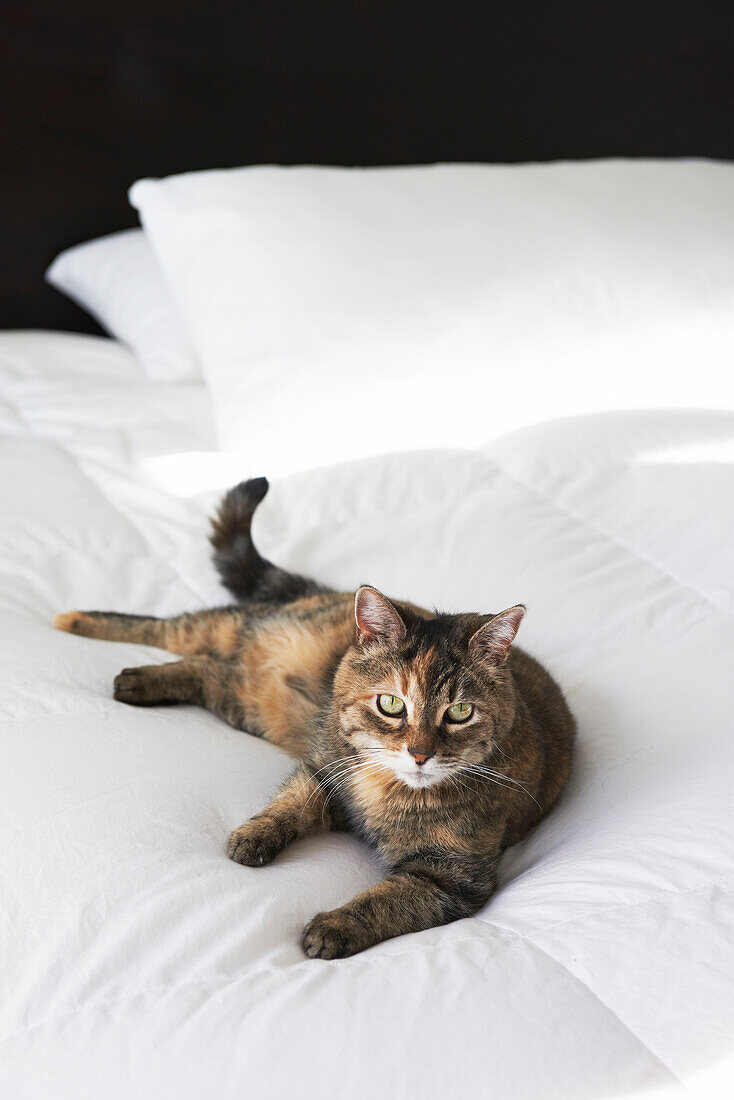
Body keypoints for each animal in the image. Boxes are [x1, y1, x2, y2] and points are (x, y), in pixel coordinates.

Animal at [54, 477, 576, 959]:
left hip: (248, 702)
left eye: (460, 712)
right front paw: (252, 837)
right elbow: (290, 803)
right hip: (235, 633)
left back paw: (136, 678)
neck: (385, 790)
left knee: (207, 667)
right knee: (172, 627)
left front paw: (331, 928)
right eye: (391, 704)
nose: (420, 753)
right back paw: (76, 624)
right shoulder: (324, 769)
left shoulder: (453, 877)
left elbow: (387, 900)